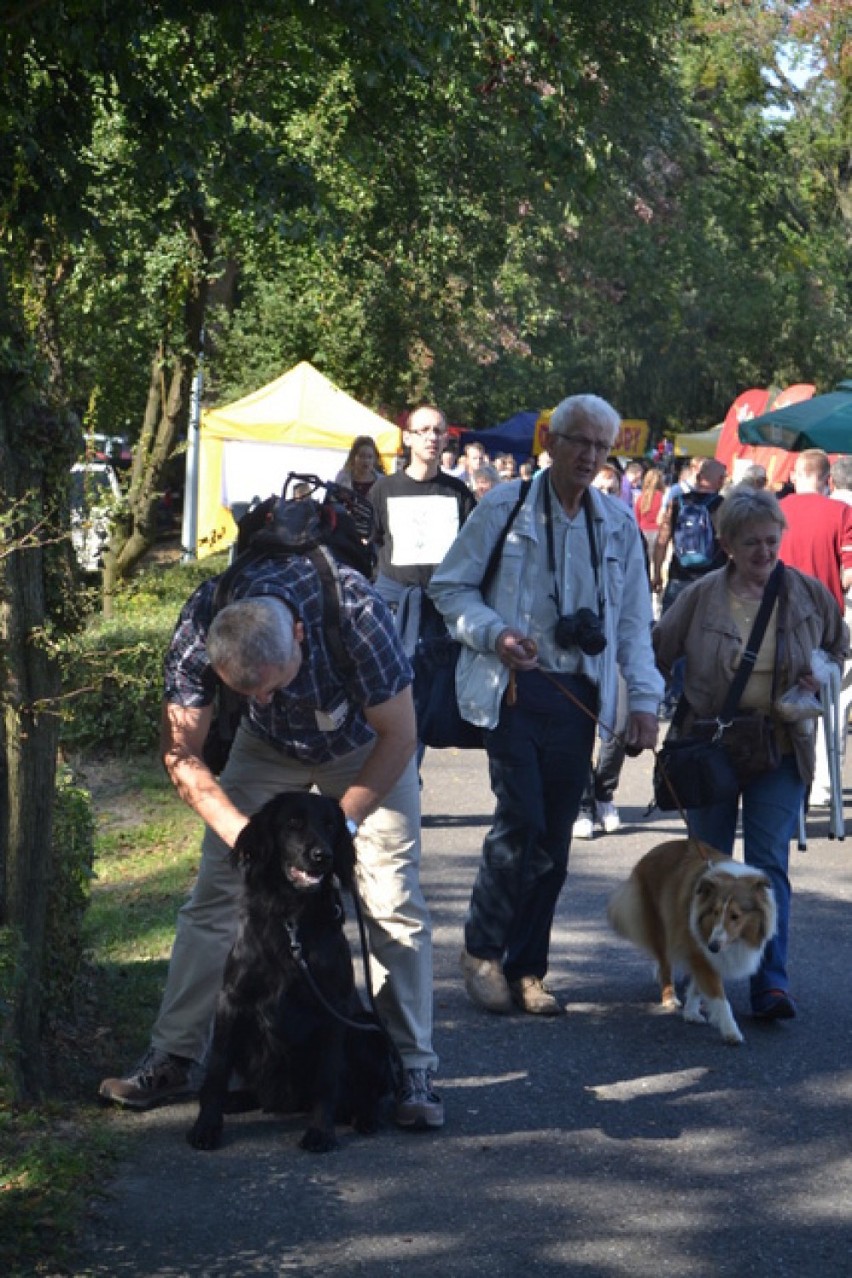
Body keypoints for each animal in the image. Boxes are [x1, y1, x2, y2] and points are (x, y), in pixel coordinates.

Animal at [186, 792, 395, 1155]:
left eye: (331, 825)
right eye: (293, 823)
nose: (322, 856)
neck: (291, 920)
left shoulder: (333, 1008)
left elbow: (327, 1078)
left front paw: (320, 1132)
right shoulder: (232, 1002)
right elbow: (216, 1070)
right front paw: (207, 1126)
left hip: (369, 1029)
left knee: (365, 1094)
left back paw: (365, 1116)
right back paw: (236, 1099)